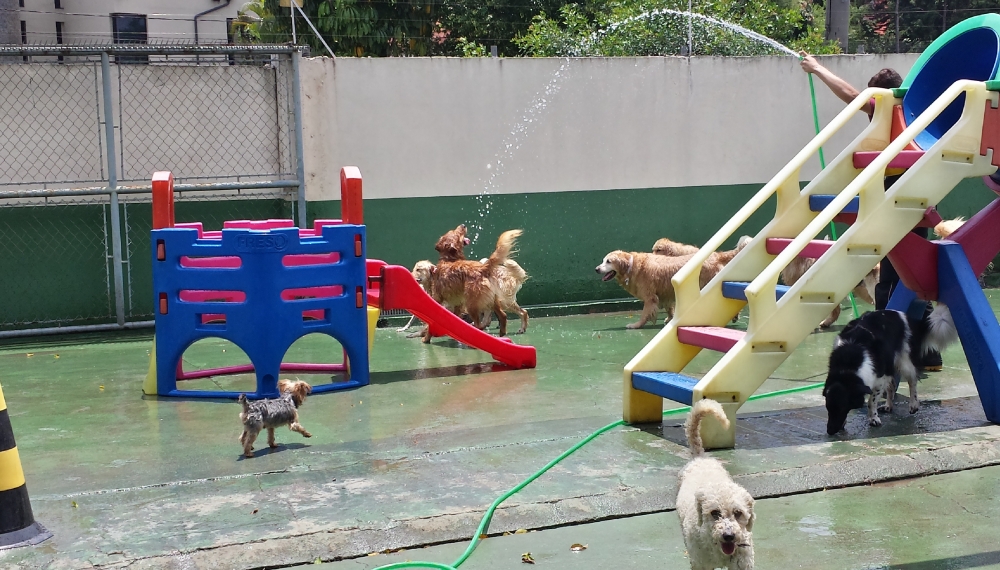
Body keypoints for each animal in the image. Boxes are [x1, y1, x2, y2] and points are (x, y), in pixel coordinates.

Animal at [596, 236, 748, 326]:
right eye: (603, 260)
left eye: (608, 261)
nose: (596, 269)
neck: (631, 266)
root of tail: (716, 255)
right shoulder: (664, 294)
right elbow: (669, 308)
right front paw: (669, 319)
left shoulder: (650, 297)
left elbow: (645, 314)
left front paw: (636, 325)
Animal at [820, 304, 960, 432]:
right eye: (828, 408)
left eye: (843, 408)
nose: (830, 431)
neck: (848, 364)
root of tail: (903, 316)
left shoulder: (879, 377)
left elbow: (872, 401)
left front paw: (873, 418)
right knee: (892, 385)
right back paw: (888, 406)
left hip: (904, 363)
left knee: (912, 381)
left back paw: (913, 404)